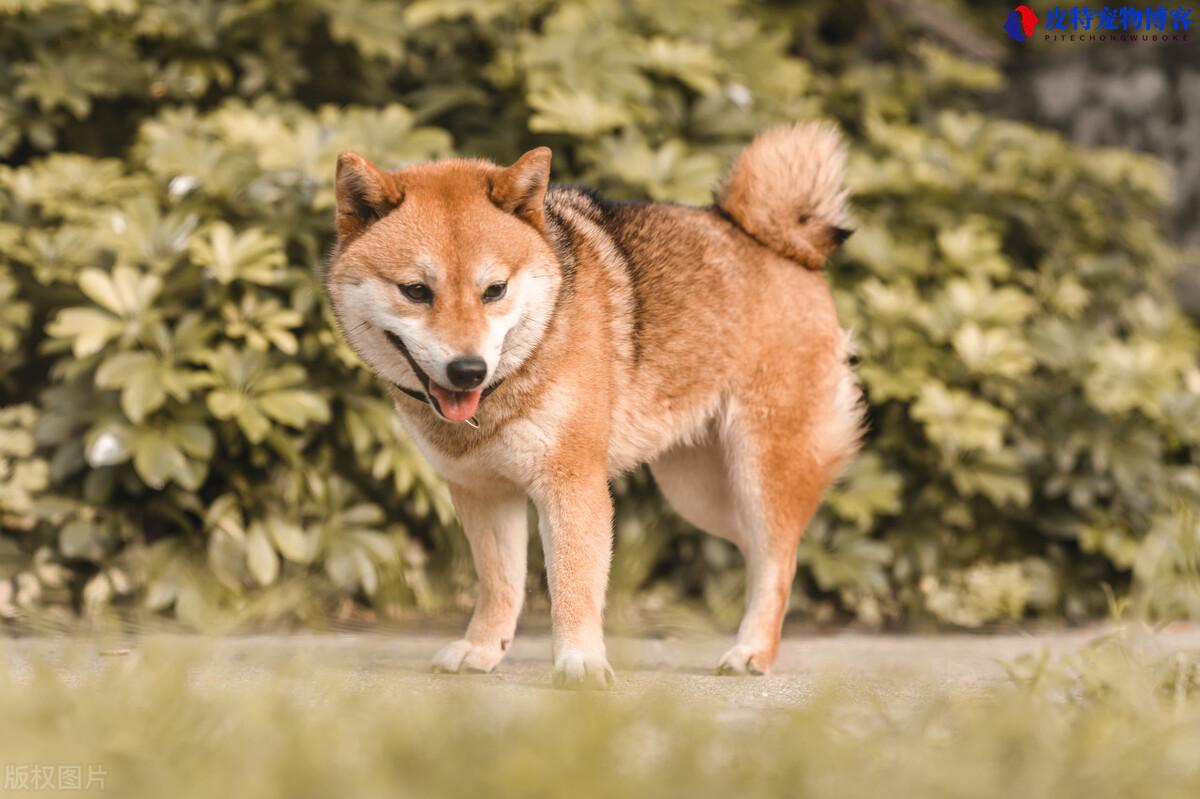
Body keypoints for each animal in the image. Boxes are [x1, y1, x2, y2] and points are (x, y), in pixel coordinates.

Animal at [321, 124, 864, 686]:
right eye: (415, 291)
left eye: (495, 290)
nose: (467, 370)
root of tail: (783, 248)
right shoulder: (485, 493)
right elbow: (500, 585)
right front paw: (483, 649)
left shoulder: (572, 485)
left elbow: (572, 586)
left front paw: (580, 662)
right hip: (699, 493)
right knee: (759, 553)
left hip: (759, 473)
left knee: (780, 558)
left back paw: (752, 651)